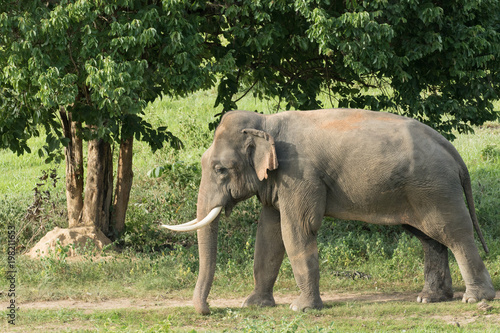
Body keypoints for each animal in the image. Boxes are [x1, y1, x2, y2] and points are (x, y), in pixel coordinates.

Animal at [161, 109, 496, 314]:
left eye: (221, 169)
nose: (207, 311)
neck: (265, 122)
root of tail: (452, 149)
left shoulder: (300, 175)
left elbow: (297, 230)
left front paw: (302, 309)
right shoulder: (279, 180)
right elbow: (268, 236)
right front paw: (253, 305)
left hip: (435, 188)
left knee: (454, 233)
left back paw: (476, 299)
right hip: (417, 191)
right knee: (428, 237)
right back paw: (430, 298)